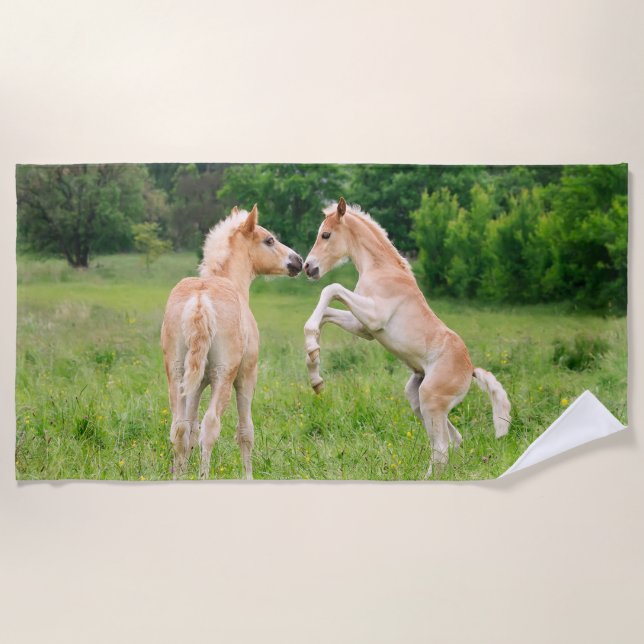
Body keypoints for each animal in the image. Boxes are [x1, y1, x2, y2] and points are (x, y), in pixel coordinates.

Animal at [161, 205, 303, 479]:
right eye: (269, 240)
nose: (298, 261)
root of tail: (200, 301)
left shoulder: (196, 384)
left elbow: (190, 430)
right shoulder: (247, 376)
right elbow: (245, 431)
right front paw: (248, 477)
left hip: (177, 374)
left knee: (180, 428)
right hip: (223, 376)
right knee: (210, 426)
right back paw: (203, 477)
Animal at [302, 197, 510, 477]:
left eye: (325, 235)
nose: (308, 267)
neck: (382, 269)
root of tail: (471, 370)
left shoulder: (374, 317)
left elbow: (331, 289)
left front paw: (313, 354)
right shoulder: (364, 328)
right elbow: (326, 313)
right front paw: (314, 370)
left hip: (431, 398)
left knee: (441, 448)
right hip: (418, 398)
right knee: (452, 440)